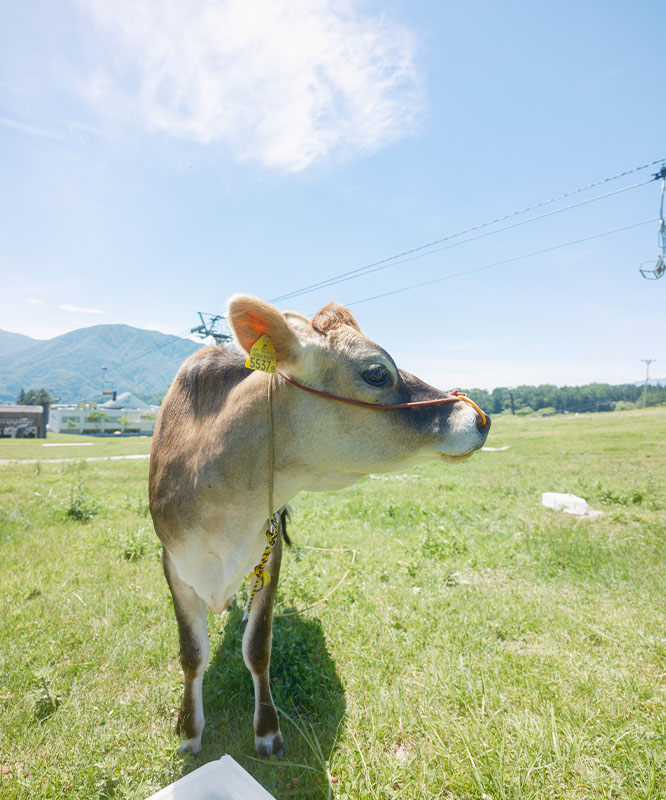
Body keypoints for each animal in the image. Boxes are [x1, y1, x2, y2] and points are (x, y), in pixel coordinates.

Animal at [149, 296, 488, 760]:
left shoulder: (270, 552)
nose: (479, 418)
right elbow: (191, 654)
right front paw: (189, 731)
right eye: (377, 372)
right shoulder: (174, 562)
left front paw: (267, 731)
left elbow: (258, 647)